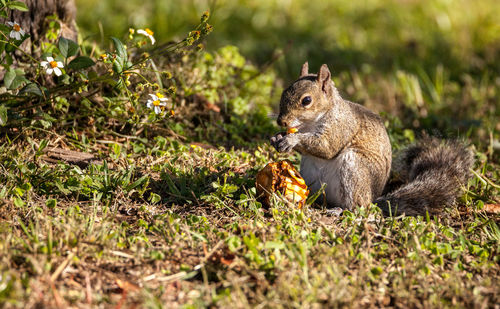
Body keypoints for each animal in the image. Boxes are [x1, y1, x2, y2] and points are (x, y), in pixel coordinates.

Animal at [272, 62, 474, 217]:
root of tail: (374, 200)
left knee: (358, 207)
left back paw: (339, 210)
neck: (310, 123)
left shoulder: (342, 127)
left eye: (306, 101)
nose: (281, 121)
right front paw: (277, 138)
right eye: (283, 93)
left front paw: (292, 141)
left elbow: (327, 147)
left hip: (355, 167)